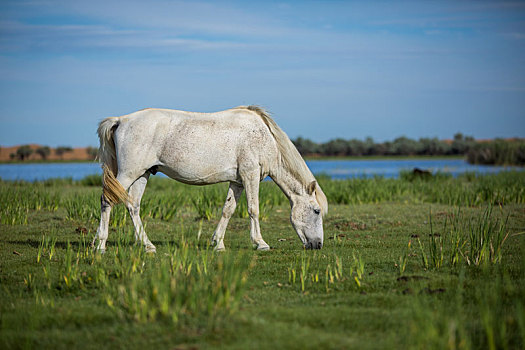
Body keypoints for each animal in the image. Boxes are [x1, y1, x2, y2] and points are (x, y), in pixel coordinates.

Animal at [92, 105, 326, 253]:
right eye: (316, 211)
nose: (318, 245)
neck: (265, 138)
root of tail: (121, 120)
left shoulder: (238, 182)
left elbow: (228, 210)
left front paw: (218, 243)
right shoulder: (250, 176)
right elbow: (253, 209)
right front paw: (261, 243)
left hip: (143, 174)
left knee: (133, 206)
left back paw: (147, 245)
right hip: (128, 174)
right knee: (107, 200)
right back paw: (100, 245)